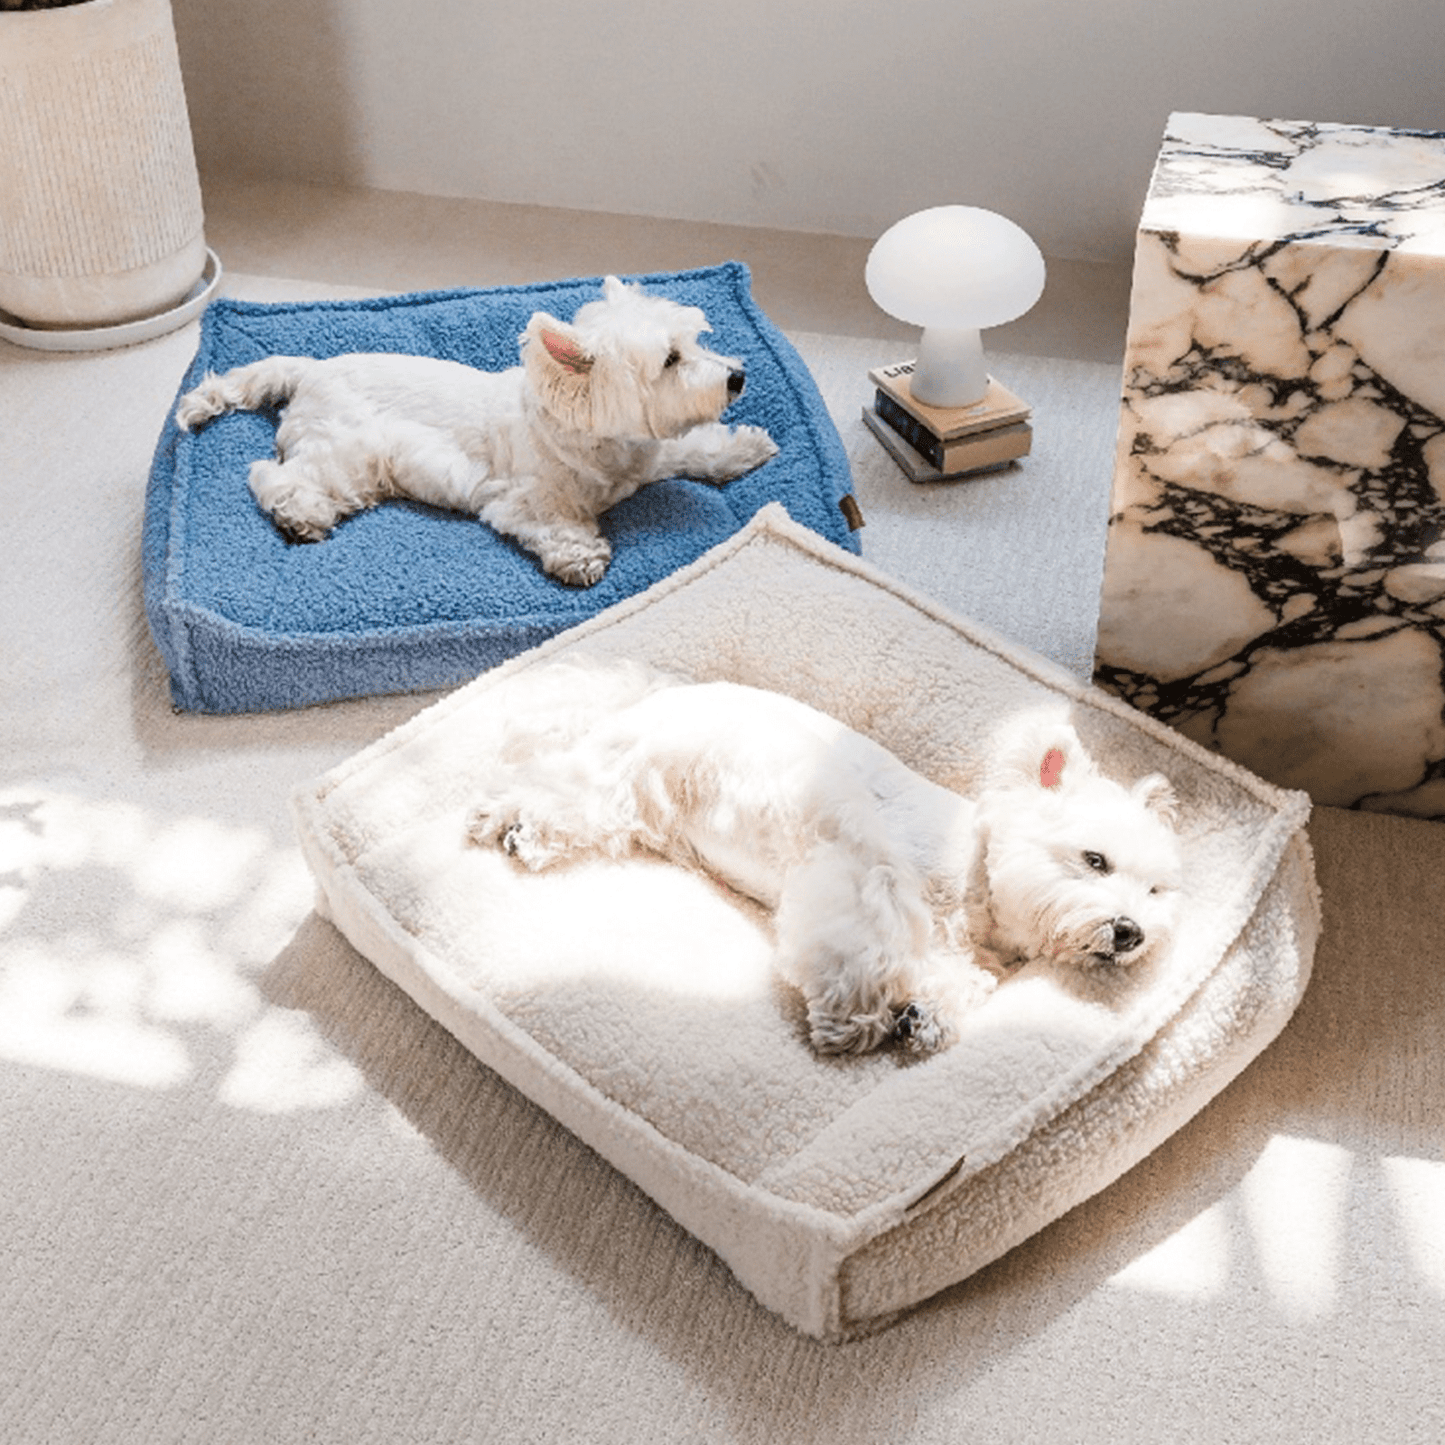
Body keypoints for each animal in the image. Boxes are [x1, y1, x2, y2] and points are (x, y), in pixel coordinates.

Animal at [173, 278, 780, 583]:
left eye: (695, 340)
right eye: (671, 359)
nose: (737, 376)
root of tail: (309, 369)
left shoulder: (651, 455)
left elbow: (695, 446)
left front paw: (746, 446)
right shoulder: (520, 498)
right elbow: (555, 524)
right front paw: (580, 556)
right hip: (346, 452)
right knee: (270, 475)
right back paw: (301, 516)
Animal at [465, 661, 1184, 1057]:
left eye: (1156, 892)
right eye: (1094, 859)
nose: (1130, 933)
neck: (975, 884)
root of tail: (651, 689)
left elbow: (956, 980)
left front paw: (926, 1016)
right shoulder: (863, 875)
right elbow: (868, 954)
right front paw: (854, 1020)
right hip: (624, 772)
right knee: (547, 787)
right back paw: (513, 824)